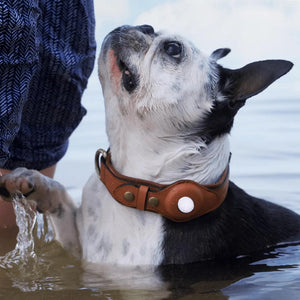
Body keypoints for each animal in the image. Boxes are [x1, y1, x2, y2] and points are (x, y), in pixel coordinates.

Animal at [0, 25, 300, 264]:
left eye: (173, 48)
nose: (144, 25)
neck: (140, 188)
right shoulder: (81, 246)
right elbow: (60, 198)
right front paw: (31, 181)